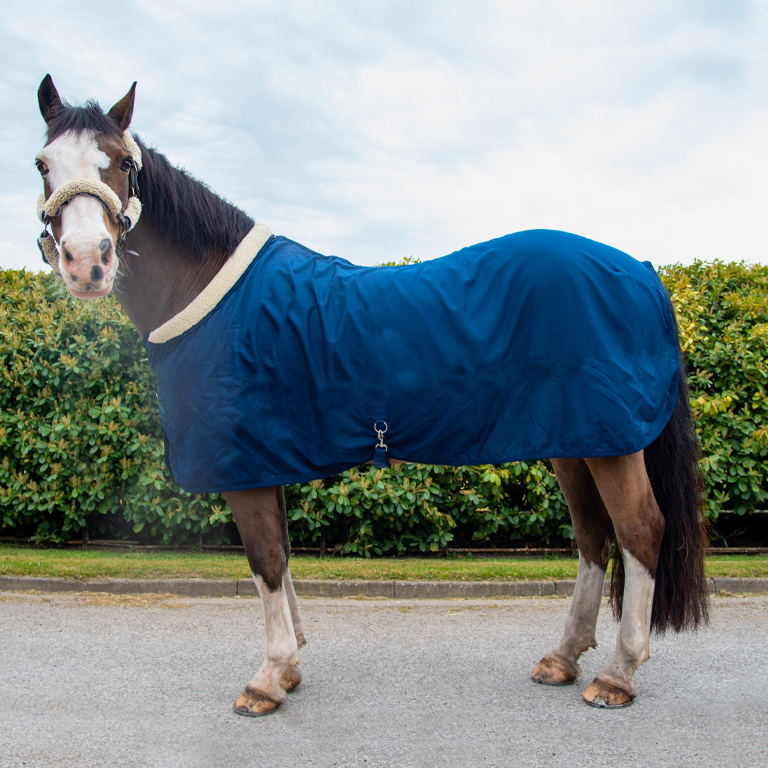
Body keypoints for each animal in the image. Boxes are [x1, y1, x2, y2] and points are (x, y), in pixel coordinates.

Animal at [33, 76, 708, 716]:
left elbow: (265, 560)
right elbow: (281, 556)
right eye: (43, 163)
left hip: (612, 443)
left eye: (123, 162)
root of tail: (641, 269)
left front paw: (267, 680)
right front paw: (290, 667)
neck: (220, 297)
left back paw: (618, 674)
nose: (87, 262)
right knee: (594, 536)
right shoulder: (265, 461)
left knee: (640, 531)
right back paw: (563, 656)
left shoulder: (245, 466)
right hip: (575, 440)